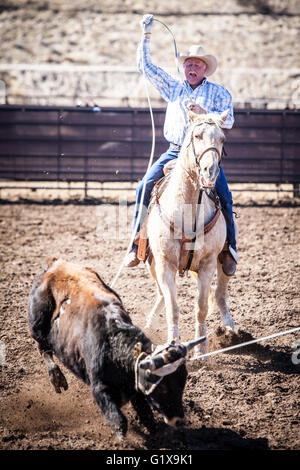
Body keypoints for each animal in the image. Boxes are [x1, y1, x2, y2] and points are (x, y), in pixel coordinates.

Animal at [145, 109, 234, 356]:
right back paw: (149, 322)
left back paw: (230, 328)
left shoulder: (207, 264)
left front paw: (201, 351)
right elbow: (173, 307)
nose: (210, 171)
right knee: (160, 294)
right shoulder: (165, 264)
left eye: (222, 139)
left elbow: (201, 308)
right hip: (152, 262)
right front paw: (172, 345)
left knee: (220, 293)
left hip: (223, 261)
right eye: (197, 135)